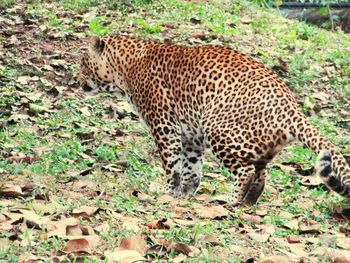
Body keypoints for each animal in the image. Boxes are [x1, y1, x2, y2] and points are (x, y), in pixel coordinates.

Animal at [78, 35, 350, 207]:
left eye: (82, 63)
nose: (75, 80)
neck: (124, 68)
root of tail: (291, 108)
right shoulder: (190, 135)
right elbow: (191, 166)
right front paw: (184, 192)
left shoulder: (164, 125)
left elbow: (171, 163)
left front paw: (166, 191)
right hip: (255, 145)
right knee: (261, 174)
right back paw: (247, 203)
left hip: (218, 129)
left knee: (246, 171)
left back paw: (230, 201)